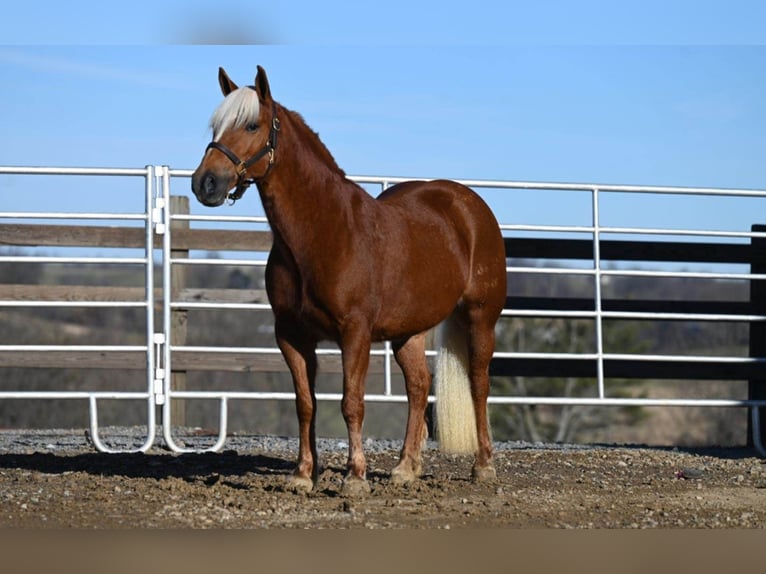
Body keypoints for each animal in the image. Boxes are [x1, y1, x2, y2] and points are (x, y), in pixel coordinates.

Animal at [190, 66, 510, 500]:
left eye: (252, 125)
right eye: (216, 126)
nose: (205, 183)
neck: (323, 231)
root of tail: (469, 205)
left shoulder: (354, 332)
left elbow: (351, 402)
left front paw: (354, 478)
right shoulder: (291, 335)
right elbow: (305, 403)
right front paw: (303, 475)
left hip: (480, 317)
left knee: (478, 383)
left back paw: (483, 466)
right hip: (408, 331)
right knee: (418, 386)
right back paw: (406, 468)